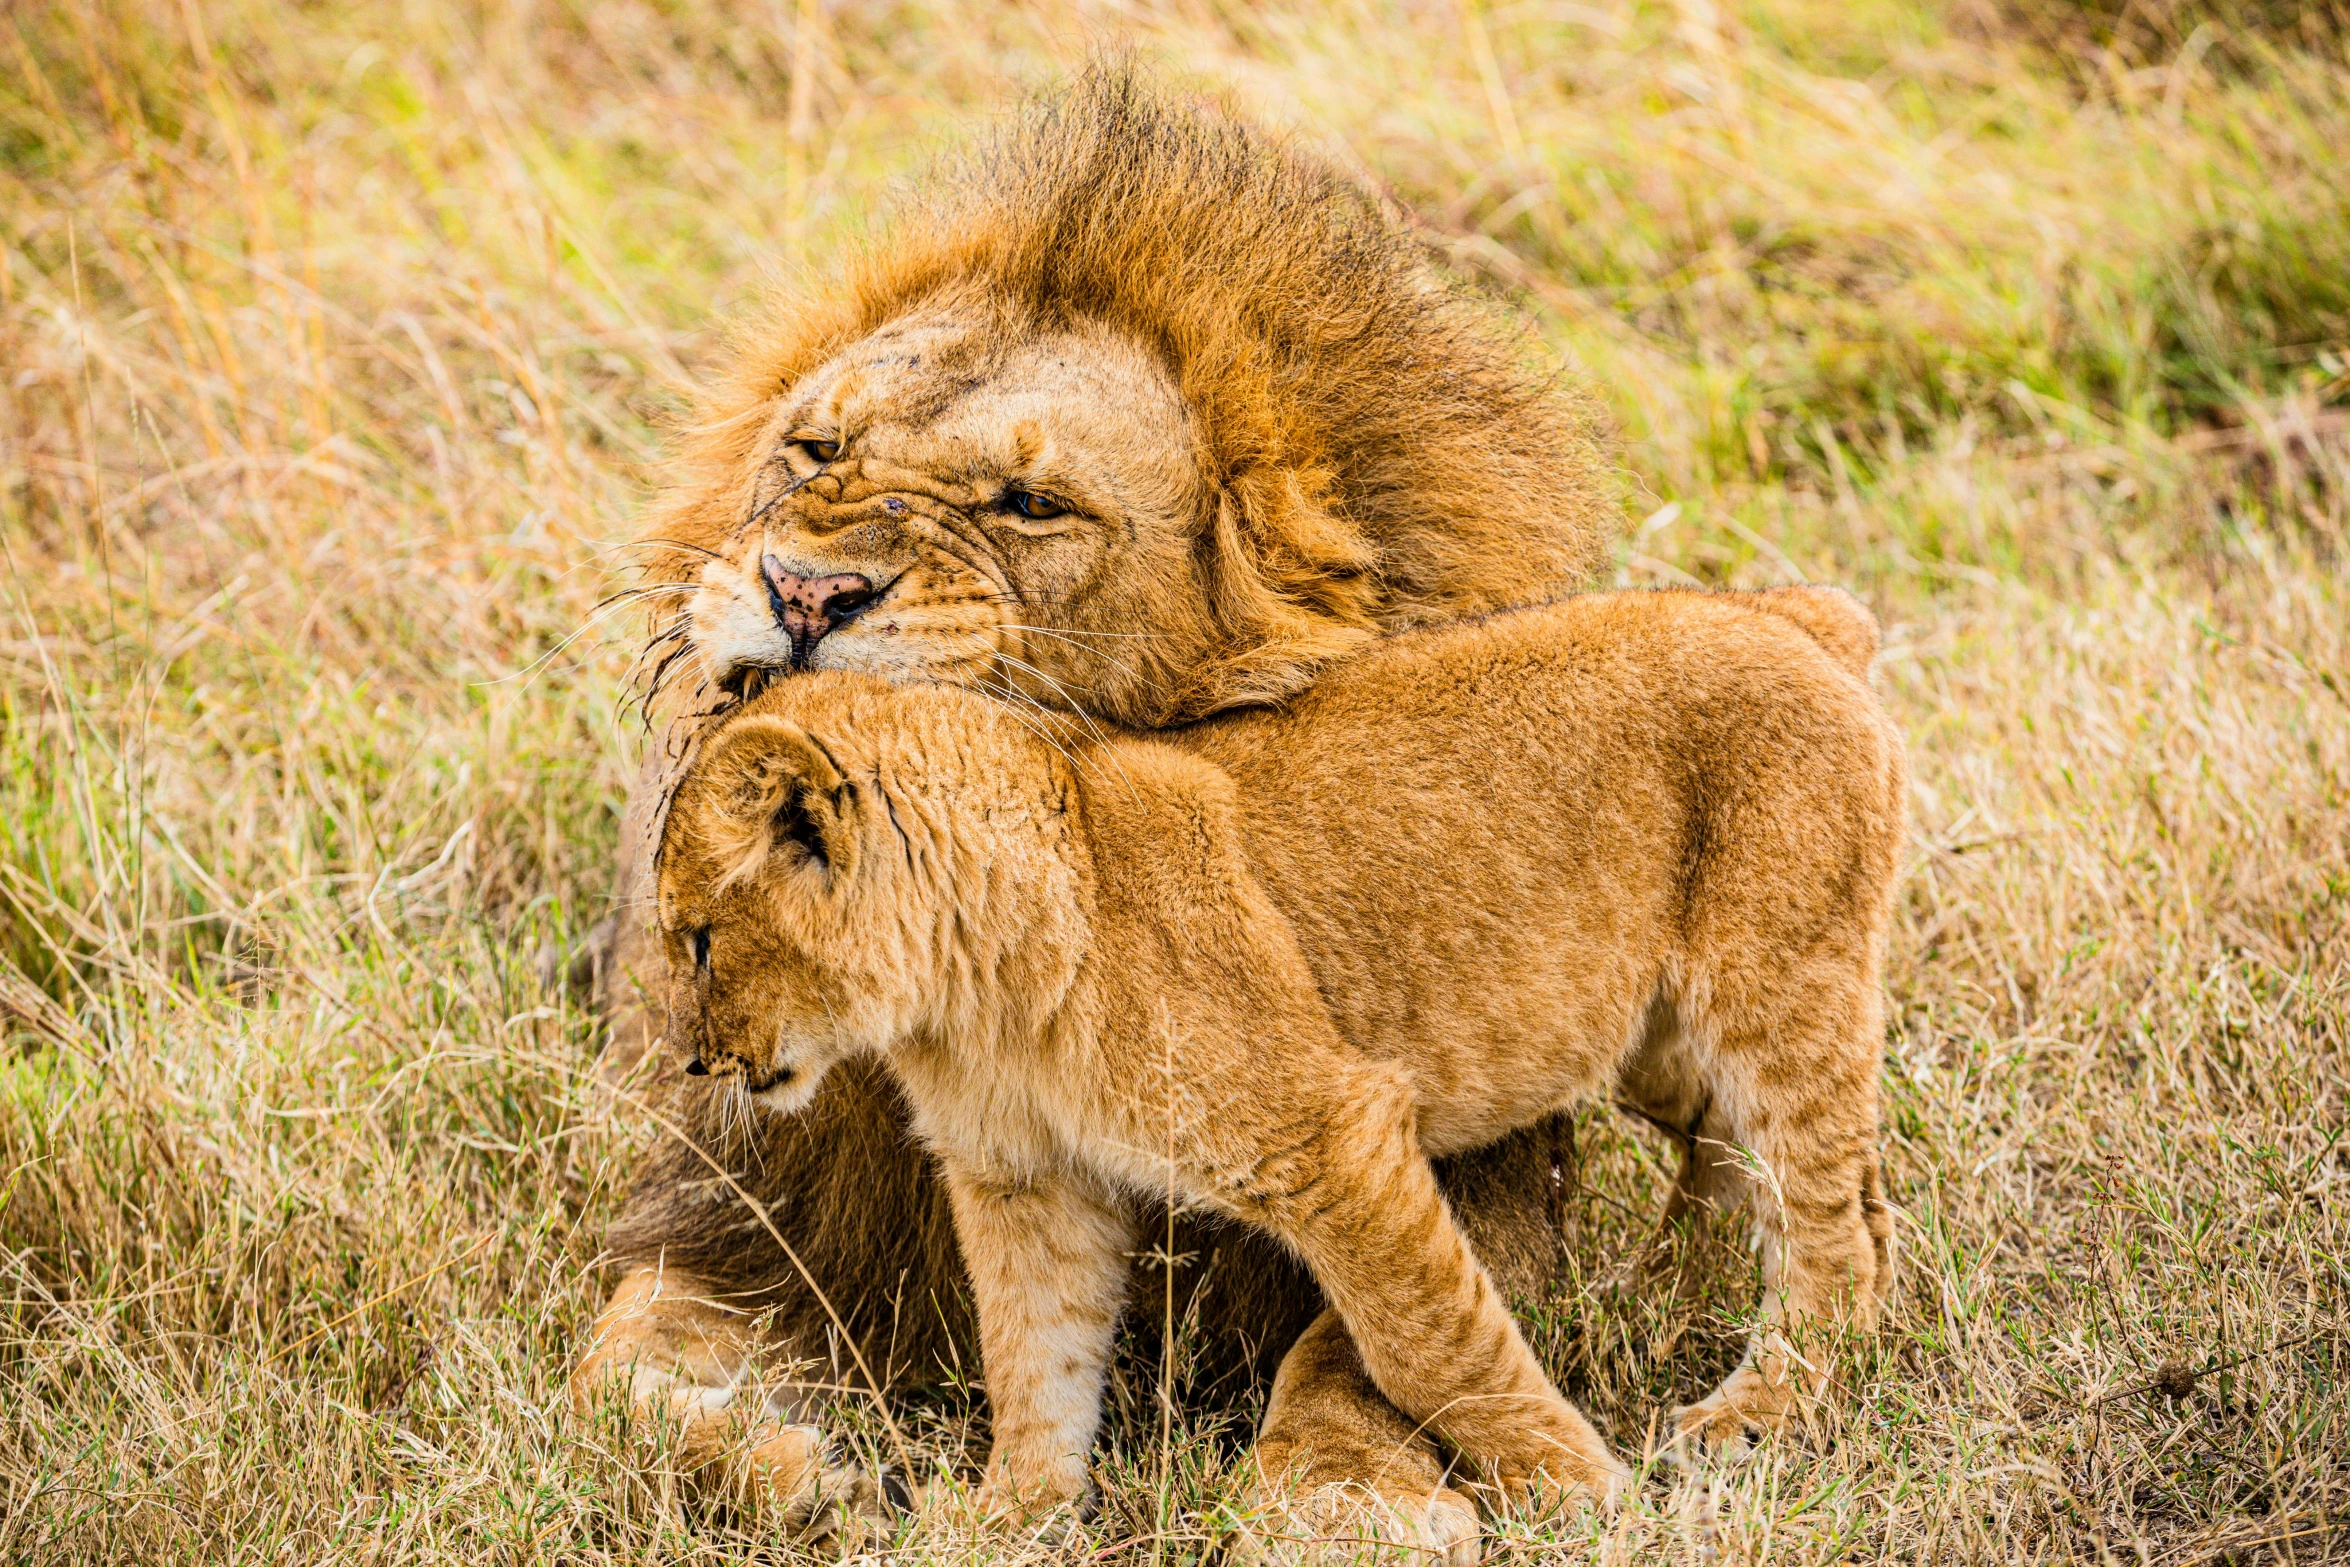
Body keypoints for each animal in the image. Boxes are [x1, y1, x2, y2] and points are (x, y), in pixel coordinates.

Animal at [578, 70, 1626, 1559]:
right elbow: (609, 1388)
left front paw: (1340, 1500)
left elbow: (1380, 1338)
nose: (802, 590)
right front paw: (805, 1472)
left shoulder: (1482, 1175)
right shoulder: (749, 1214)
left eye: (1031, 504)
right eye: (816, 447)